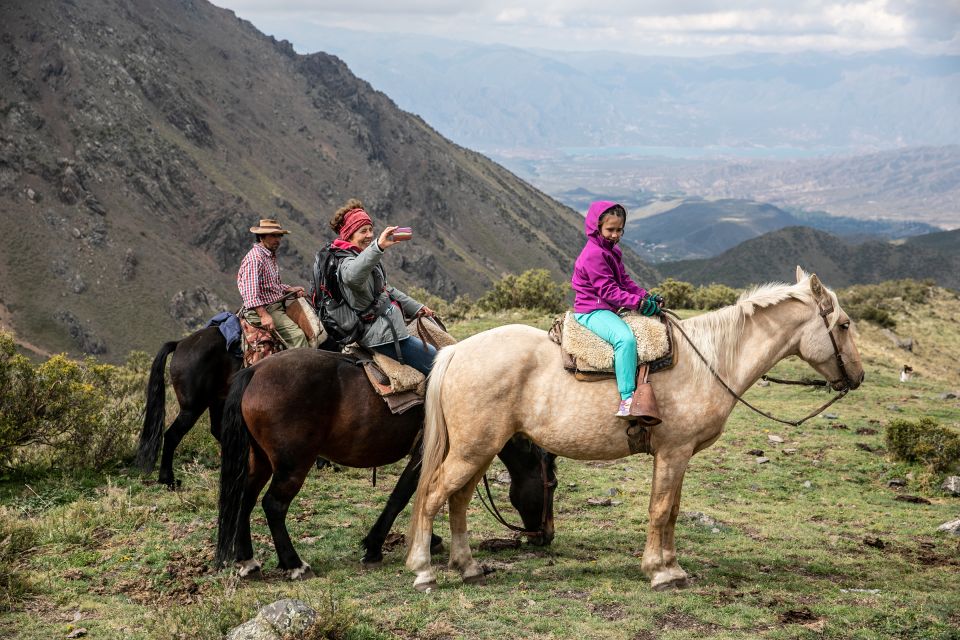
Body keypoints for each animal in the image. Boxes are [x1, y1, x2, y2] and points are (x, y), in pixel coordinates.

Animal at [212, 350, 556, 580]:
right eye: (551, 485)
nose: (547, 536)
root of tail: (255, 372)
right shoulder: (423, 454)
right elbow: (403, 496)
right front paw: (375, 546)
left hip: (259, 460)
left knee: (244, 500)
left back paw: (248, 562)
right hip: (292, 464)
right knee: (273, 505)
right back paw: (295, 565)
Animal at [404, 268, 864, 592]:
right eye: (843, 325)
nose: (857, 377)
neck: (709, 361)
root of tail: (455, 351)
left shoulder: (677, 456)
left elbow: (672, 510)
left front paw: (672, 567)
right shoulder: (674, 452)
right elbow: (660, 510)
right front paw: (659, 572)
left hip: (478, 449)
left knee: (458, 499)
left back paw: (467, 567)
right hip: (472, 449)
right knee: (433, 495)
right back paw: (423, 571)